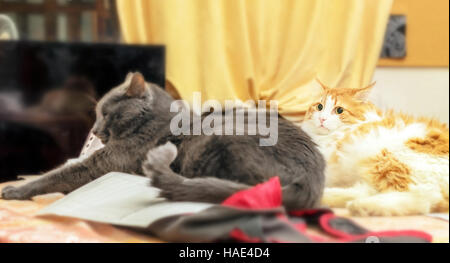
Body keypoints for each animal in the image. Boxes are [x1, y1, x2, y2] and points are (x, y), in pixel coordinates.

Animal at [1, 71, 326, 210]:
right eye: (96, 115)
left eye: (105, 113)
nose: (96, 131)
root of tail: (311, 179)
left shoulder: (105, 163)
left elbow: (57, 175)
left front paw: (14, 190)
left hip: (218, 140)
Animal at [300, 80, 448, 217]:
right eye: (319, 107)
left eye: (339, 110)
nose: (322, 119)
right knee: (364, 190)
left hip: (385, 158)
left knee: (423, 197)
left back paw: (362, 206)